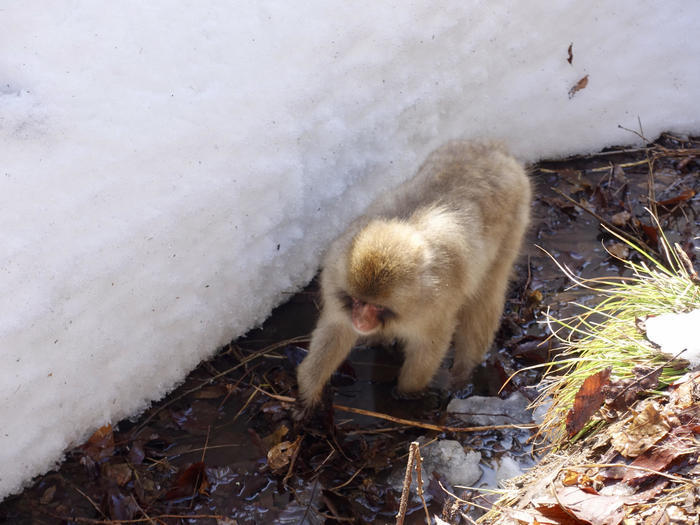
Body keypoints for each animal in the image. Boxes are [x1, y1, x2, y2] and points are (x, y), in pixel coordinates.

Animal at [296, 141, 532, 412]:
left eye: (376, 306)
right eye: (357, 301)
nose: (361, 321)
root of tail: (493, 149)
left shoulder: (432, 308)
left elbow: (430, 344)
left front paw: (406, 392)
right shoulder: (335, 278)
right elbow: (336, 329)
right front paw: (308, 391)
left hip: (515, 221)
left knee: (485, 298)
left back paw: (464, 370)